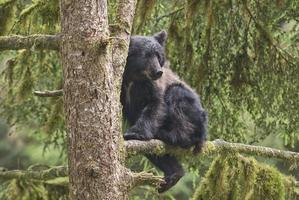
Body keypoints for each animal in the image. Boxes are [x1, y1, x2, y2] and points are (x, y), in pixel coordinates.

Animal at [120, 30, 207, 192]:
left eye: (158, 55)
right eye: (146, 55)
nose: (158, 72)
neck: (134, 77)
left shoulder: (153, 86)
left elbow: (155, 105)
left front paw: (135, 132)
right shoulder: (123, 87)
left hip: (193, 111)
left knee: (177, 99)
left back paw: (168, 134)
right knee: (157, 153)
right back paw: (172, 175)